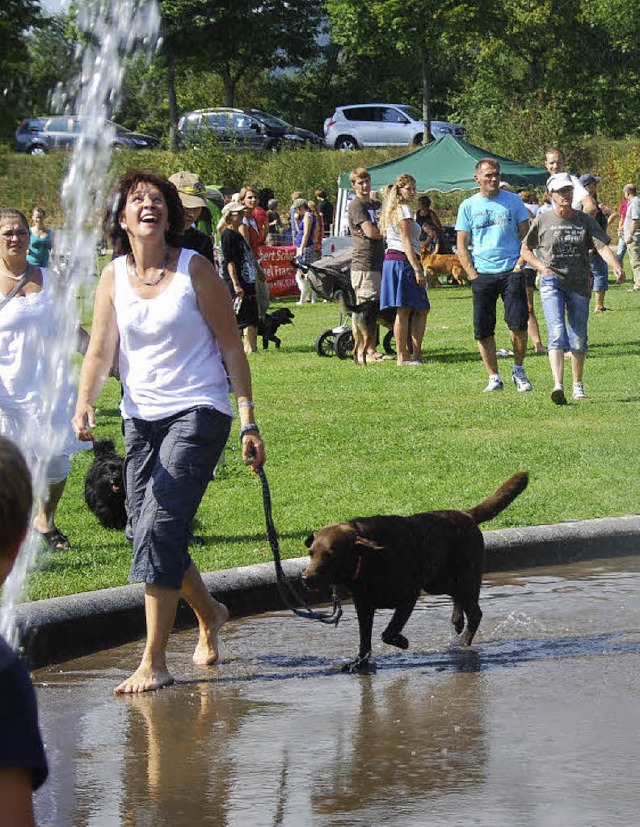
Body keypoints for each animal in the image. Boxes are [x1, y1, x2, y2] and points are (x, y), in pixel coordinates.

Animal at [302, 472, 528, 672]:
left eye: (330, 555)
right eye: (311, 553)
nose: (305, 578)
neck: (369, 561)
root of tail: (466, 514)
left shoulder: (408, 597)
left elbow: (388, 632)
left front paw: (402, 642)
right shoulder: (364, 606)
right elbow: (364, 640)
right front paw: (359, 663)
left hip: (465, 577)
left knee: (475, 612)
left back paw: (463, 641)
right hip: (437, 581)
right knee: (458, 598)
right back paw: (457, 622)